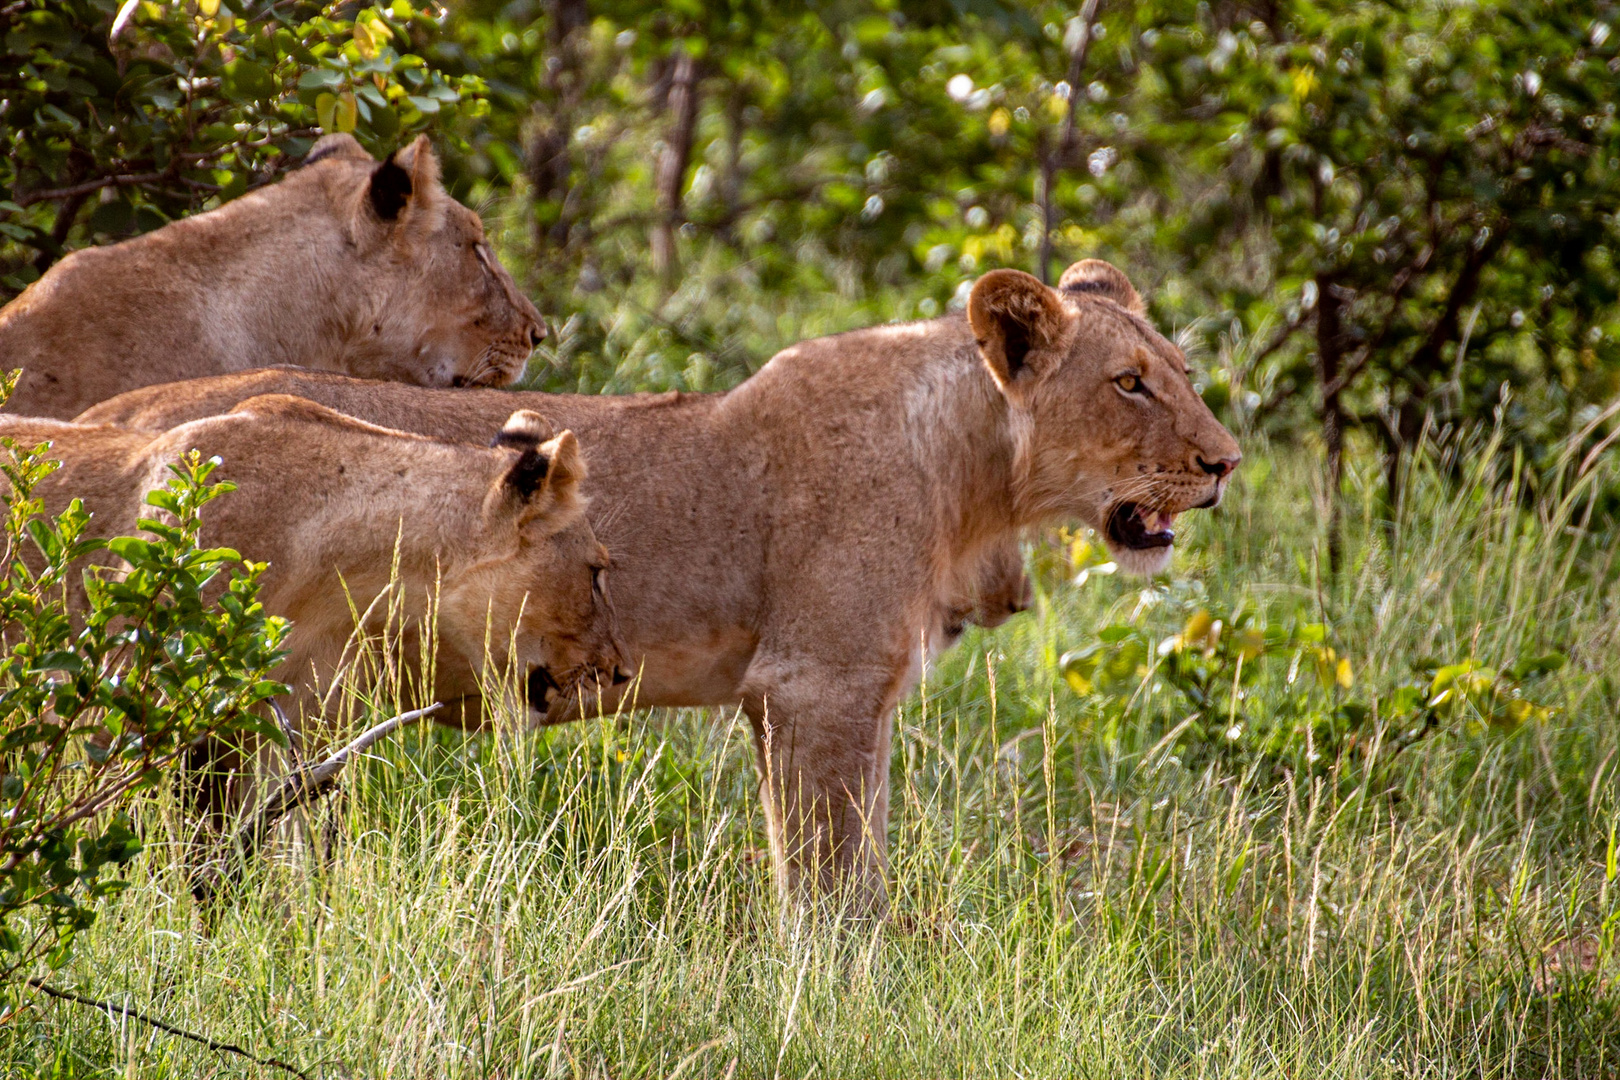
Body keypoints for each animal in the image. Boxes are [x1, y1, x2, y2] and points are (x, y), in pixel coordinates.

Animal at [85, 263, 1237, 913]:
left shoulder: (836, 700)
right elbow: (832, 886)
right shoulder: (813, 687)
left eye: (1178, 371)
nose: (1226, 463)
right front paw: (844, 998)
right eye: (1130, 384)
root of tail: (110, 420)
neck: (975, 481)